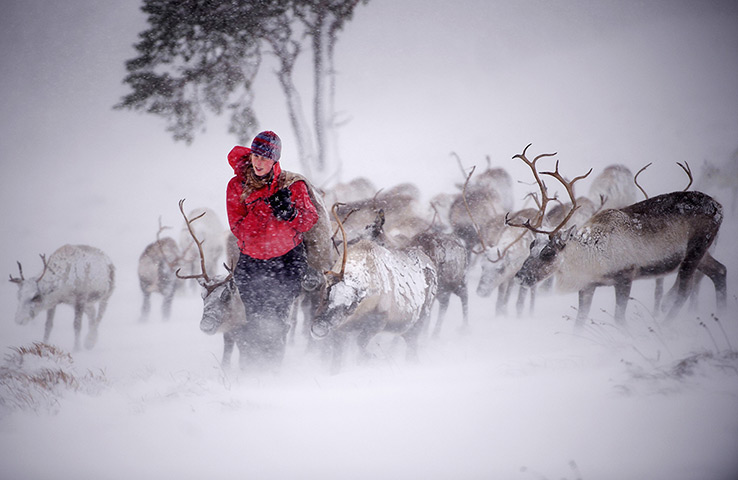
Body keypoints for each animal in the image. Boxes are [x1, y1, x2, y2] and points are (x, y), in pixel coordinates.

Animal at [311, 205, 438, 373]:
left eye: (351, 306)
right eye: (326, 293)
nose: (320, 328)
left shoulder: (378, 321)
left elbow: (361, 346)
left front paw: (373, 359)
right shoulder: (341, 330)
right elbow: (336, 362)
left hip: (419, 321)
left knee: (412, 348)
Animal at [509, 144, 726, 327]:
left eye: (548, 253)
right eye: (531, 247)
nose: (519, 277)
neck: (592, 256)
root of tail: (718, 206)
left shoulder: (625, 276)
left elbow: (619, 319)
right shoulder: (587, 286)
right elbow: (579, 322)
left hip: (696, 248)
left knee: (685, 290)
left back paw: (666, 324)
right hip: (702, 253)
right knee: (720, 271)